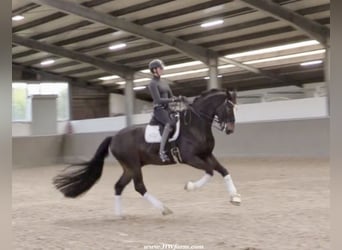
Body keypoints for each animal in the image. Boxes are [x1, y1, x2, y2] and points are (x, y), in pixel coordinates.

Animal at [53, 88, 240, 215]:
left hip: (129, 168)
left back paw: (119, 215)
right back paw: (163, 209)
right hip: (134, 165)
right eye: (228, 108)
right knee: (139, 187)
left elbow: (223, 171)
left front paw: (235, 197)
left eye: (235, 108)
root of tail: (114, 137)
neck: (195, 125)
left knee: (119, 186)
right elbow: (210, 171)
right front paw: (189, 186)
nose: (231, 130)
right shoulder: (190, 158)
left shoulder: (207, 154)